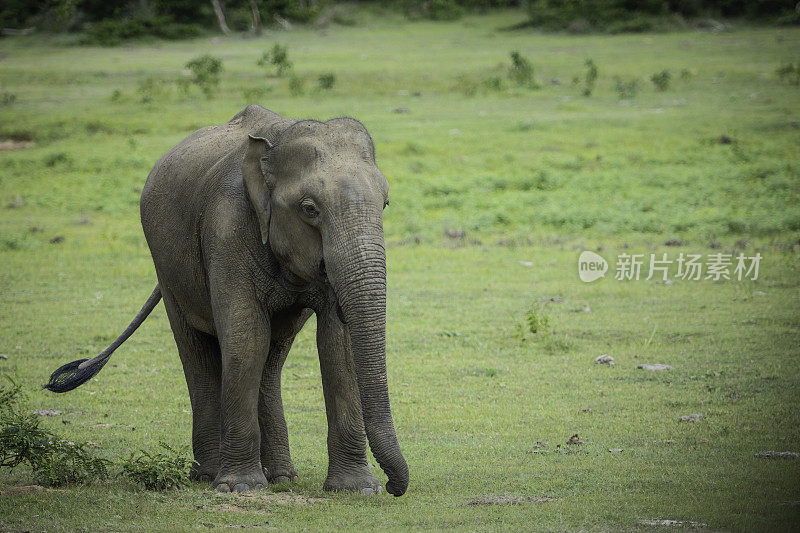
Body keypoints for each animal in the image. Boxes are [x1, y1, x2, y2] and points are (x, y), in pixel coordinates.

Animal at [43, 104, 406, 494]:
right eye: (309, 209)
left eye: (385, 204)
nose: (393, 487)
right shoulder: (226, 230)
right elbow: (246, 338)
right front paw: (239, 488)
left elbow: (338, 345)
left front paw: (358, 489)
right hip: (167, 270)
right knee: (199, 350)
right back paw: (210, 475)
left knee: (273, 353)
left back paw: (281, 477)